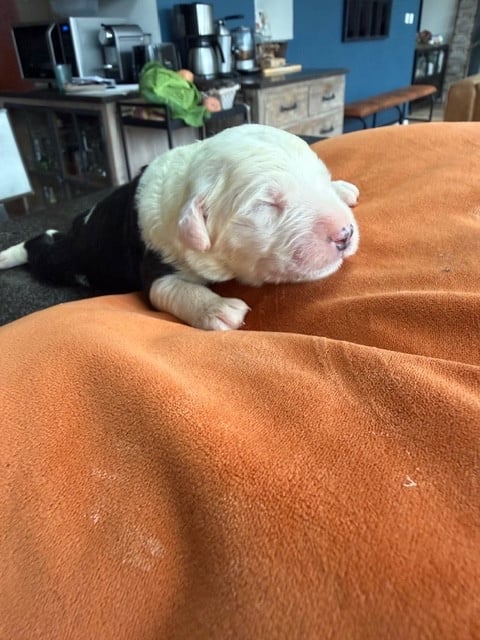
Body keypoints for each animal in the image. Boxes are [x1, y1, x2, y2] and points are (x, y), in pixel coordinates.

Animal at [0, 124, 359, 330]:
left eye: (321, 178)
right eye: (266, 204)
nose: (344, 234)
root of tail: (76, 233)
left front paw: (341, 188)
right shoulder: (156, 260)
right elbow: (168, 288)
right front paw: (218, 308)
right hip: (64, 262)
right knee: (37, 248)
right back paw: (9, 254)